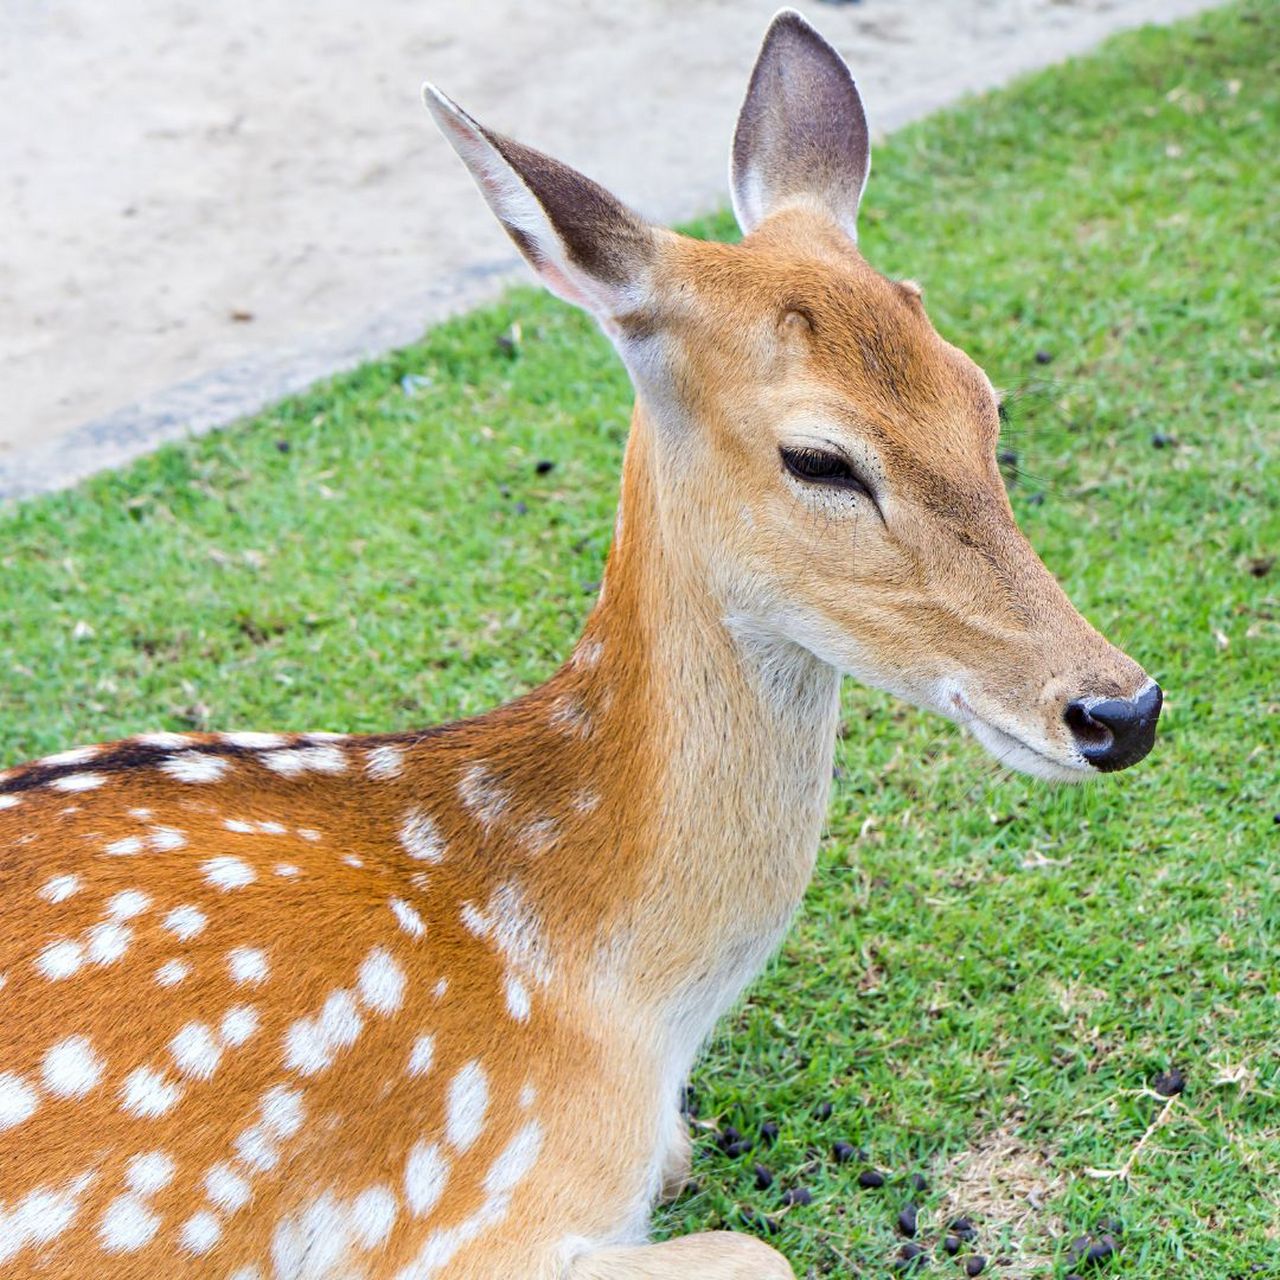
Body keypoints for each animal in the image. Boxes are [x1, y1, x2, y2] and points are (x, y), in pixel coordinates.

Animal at [0, 12, 1162, 1280]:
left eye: (979, 396)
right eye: (819, 458)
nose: (1118, 707)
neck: (624, 1011)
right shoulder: (450, 1217)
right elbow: (757, 1249)